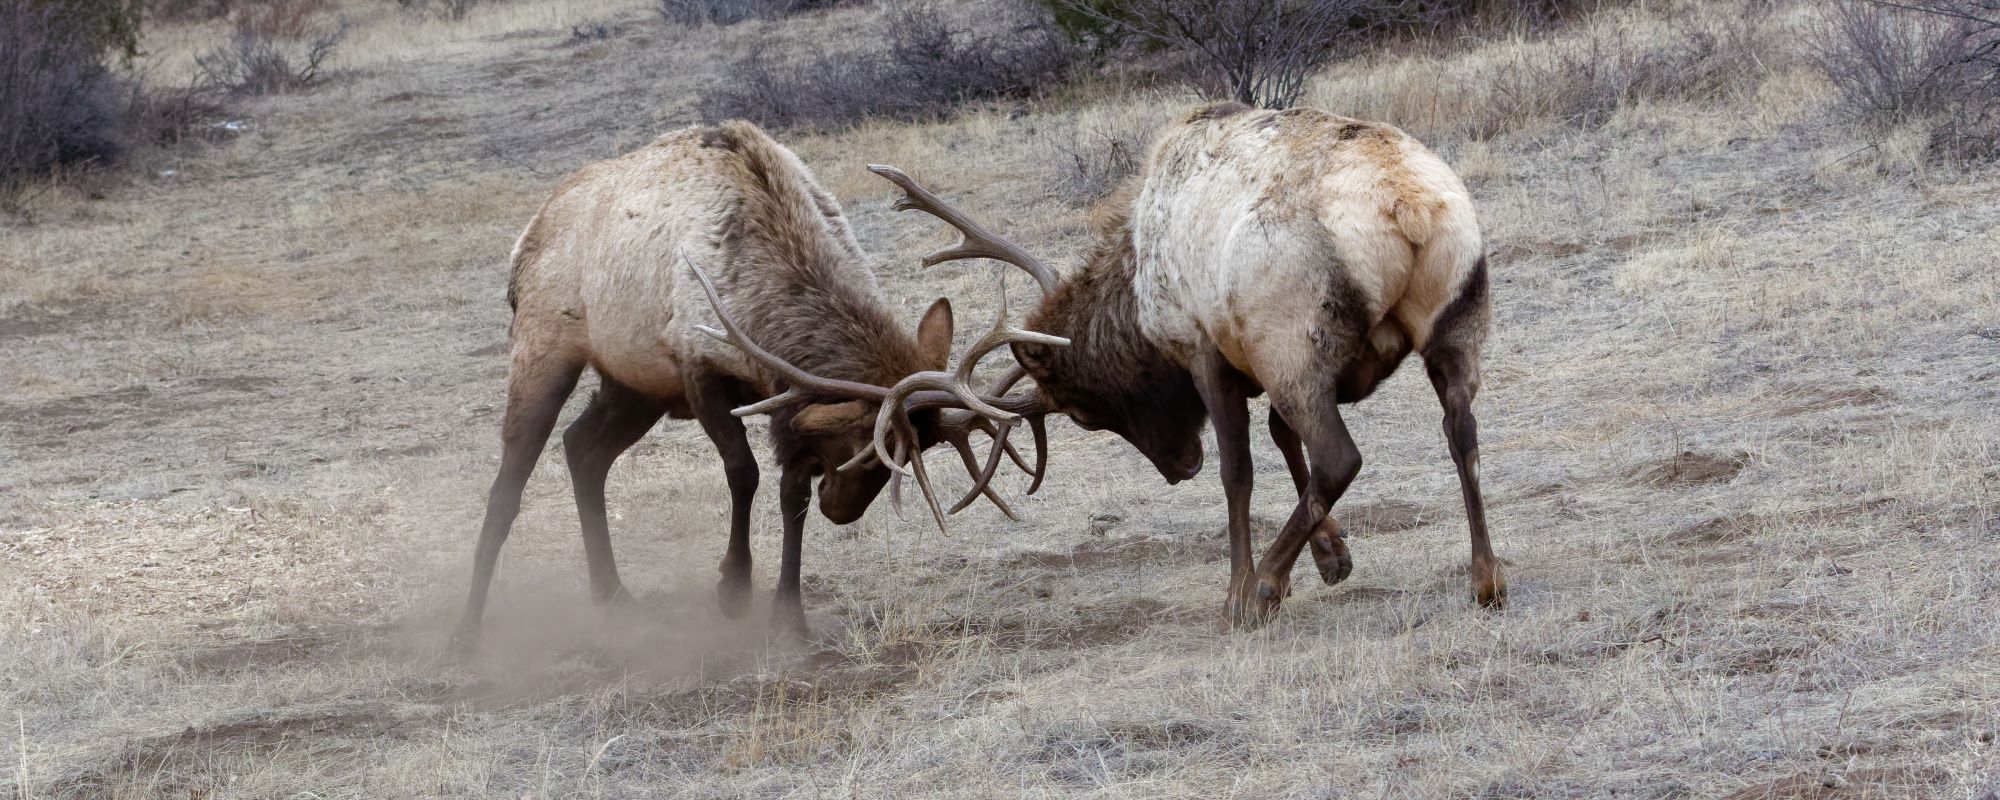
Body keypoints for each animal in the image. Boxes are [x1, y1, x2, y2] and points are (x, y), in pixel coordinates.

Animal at [456, 120, 1048, 648]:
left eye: (911, 450)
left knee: (582, 448)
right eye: (865, 447)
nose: (843, 512)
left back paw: (612, 594)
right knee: (509, 482)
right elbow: (744, 473)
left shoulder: (784, 399)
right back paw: (467, 630)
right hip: (545, 345)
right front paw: (733, 587)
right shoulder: (698, 367)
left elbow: (792, 497)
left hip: (635, 386)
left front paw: (788, 616)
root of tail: (527, 236)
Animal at [860, 104, 1504, 632]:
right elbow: (1279, 439)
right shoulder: (1252, 357)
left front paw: (1243, 585)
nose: (1178, 467)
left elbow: (1239, 471)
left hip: (1294, 341)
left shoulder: (1207, 350)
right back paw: (1486, 577)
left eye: (1082, 412)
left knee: (1340, 457)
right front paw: (1331, 556)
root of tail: (1410, 210)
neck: (1137, 291)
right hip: (1455, 323)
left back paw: (1261, 589)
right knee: (1461, 431)